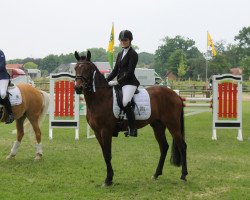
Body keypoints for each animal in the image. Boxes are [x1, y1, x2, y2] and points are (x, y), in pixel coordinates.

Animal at [74, 50, 188, 186]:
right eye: (76, 68)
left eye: (88, 69)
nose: (78, 88)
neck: (100, 98)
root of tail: (176, 95)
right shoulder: (97, 132)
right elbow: (104, 154)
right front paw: (109, 178)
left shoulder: (105, 131)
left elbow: (108, 154)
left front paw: (108, 179)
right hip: (158, 125)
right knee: (164, 147)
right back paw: (156, 174)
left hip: (173, 125)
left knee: (182, 146)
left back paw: (183, 175)